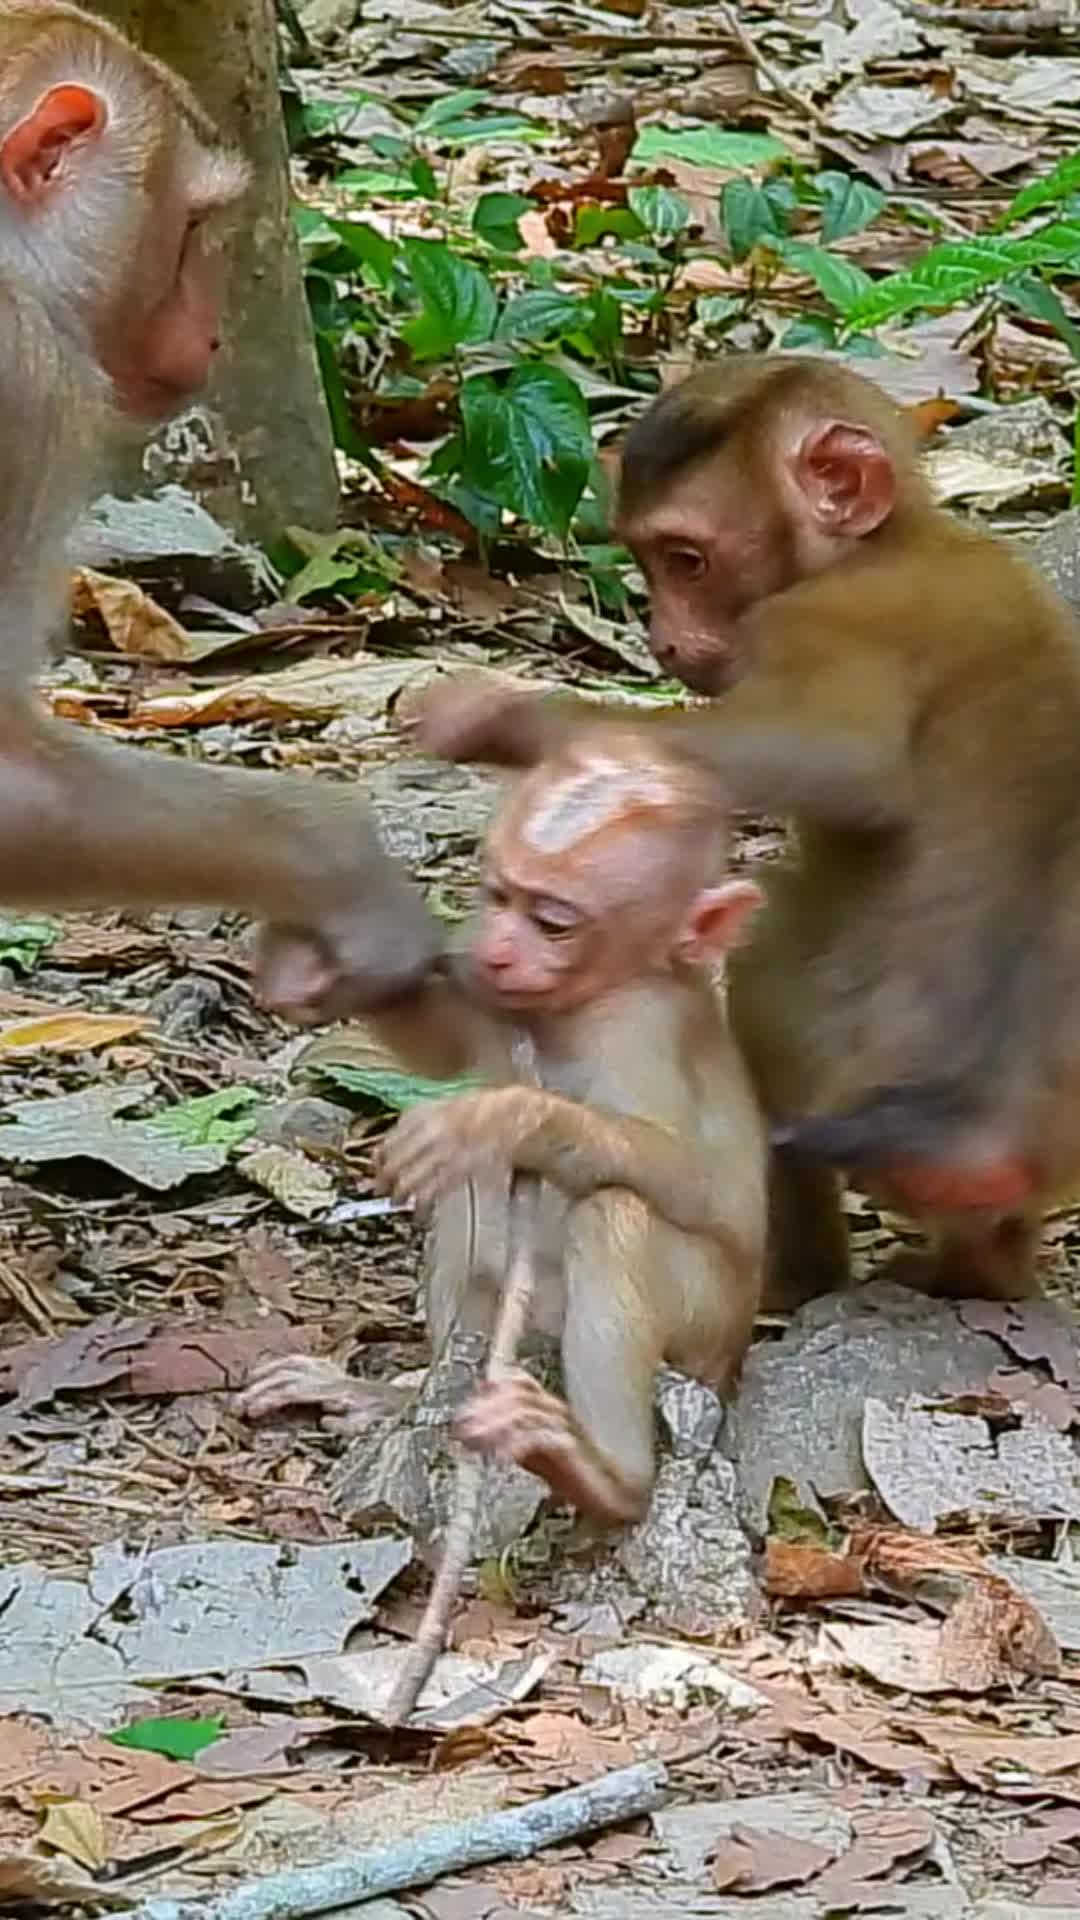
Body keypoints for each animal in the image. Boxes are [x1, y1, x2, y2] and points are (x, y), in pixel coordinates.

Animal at [244, 730, 768, 1526]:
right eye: (495, 895)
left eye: (553, 922)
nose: (495, 949)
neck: (583, 1003)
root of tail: (732, 1361)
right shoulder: (497, 1000)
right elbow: (444, 1048)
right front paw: (316, 972)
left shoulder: (641, 1027)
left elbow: (682, 1171)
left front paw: (506, 1119)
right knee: (472, 1213)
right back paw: (397, 1397)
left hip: (704, 1334)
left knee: (612, 1215)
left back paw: (607, 1477)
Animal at [404, 353, 1080, 1306]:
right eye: (649, 562)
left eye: (686, 560)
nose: (661, 640)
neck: (901, 539)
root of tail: (980, 1127)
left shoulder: (823, 616)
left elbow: (831, 755)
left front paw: (504, 721)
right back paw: (987, 1271)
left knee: (763, 976)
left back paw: (803, 1277)